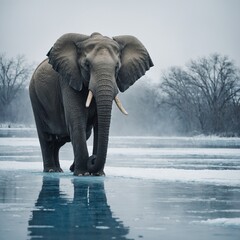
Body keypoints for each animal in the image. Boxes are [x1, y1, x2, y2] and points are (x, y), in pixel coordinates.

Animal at [29, 31, 154, 175]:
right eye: (87, 65)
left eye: (117, 67)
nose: (92, 158)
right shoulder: (68, 80)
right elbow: (77, 121)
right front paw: (83, 173)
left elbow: (99, 125)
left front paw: (97, 174)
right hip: (35, 97)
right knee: (47, 137)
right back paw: (51, 170)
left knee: (62, 139)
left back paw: (61, 169)